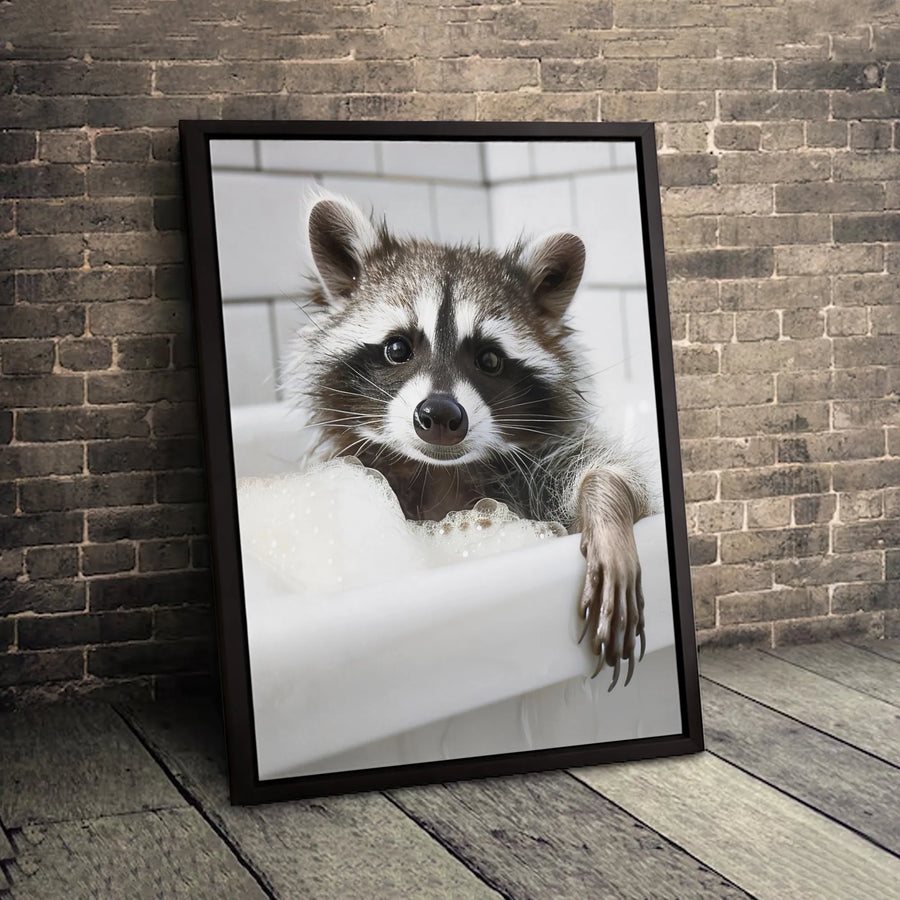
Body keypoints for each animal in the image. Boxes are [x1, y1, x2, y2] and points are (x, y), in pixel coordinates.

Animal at [286, 191, 651, 688]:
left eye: (490, 360)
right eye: (397, 348)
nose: (440, 415)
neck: (439, 472)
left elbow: (608, 477)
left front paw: (605, 503)